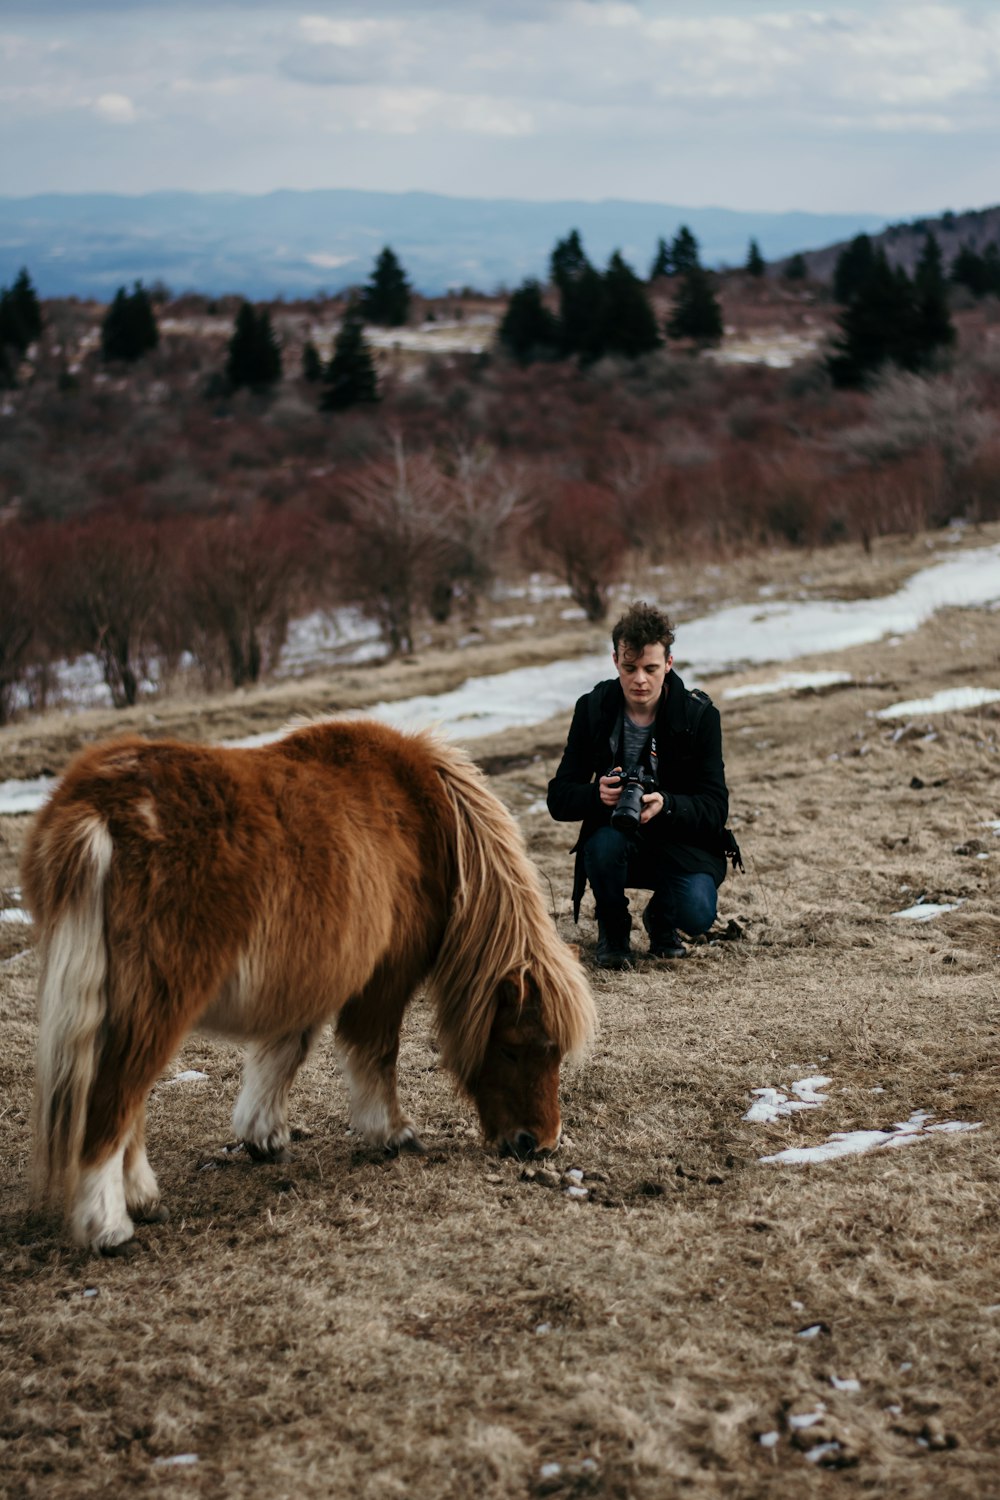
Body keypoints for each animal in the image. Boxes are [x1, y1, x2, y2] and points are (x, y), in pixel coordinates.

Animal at [25, 714, 593, 1254]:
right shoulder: (385, 974)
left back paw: (142, 1199)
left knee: (128, 1106)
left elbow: (282, 1054)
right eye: (517, 1047)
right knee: (114, 1101)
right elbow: (376, 1053)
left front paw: (263, 1137)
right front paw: (392, 1133)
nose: (539, 1143)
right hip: (155, 1004)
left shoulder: (314, 972)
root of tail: (99, 809)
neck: (431, 820)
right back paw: (110, 1228)